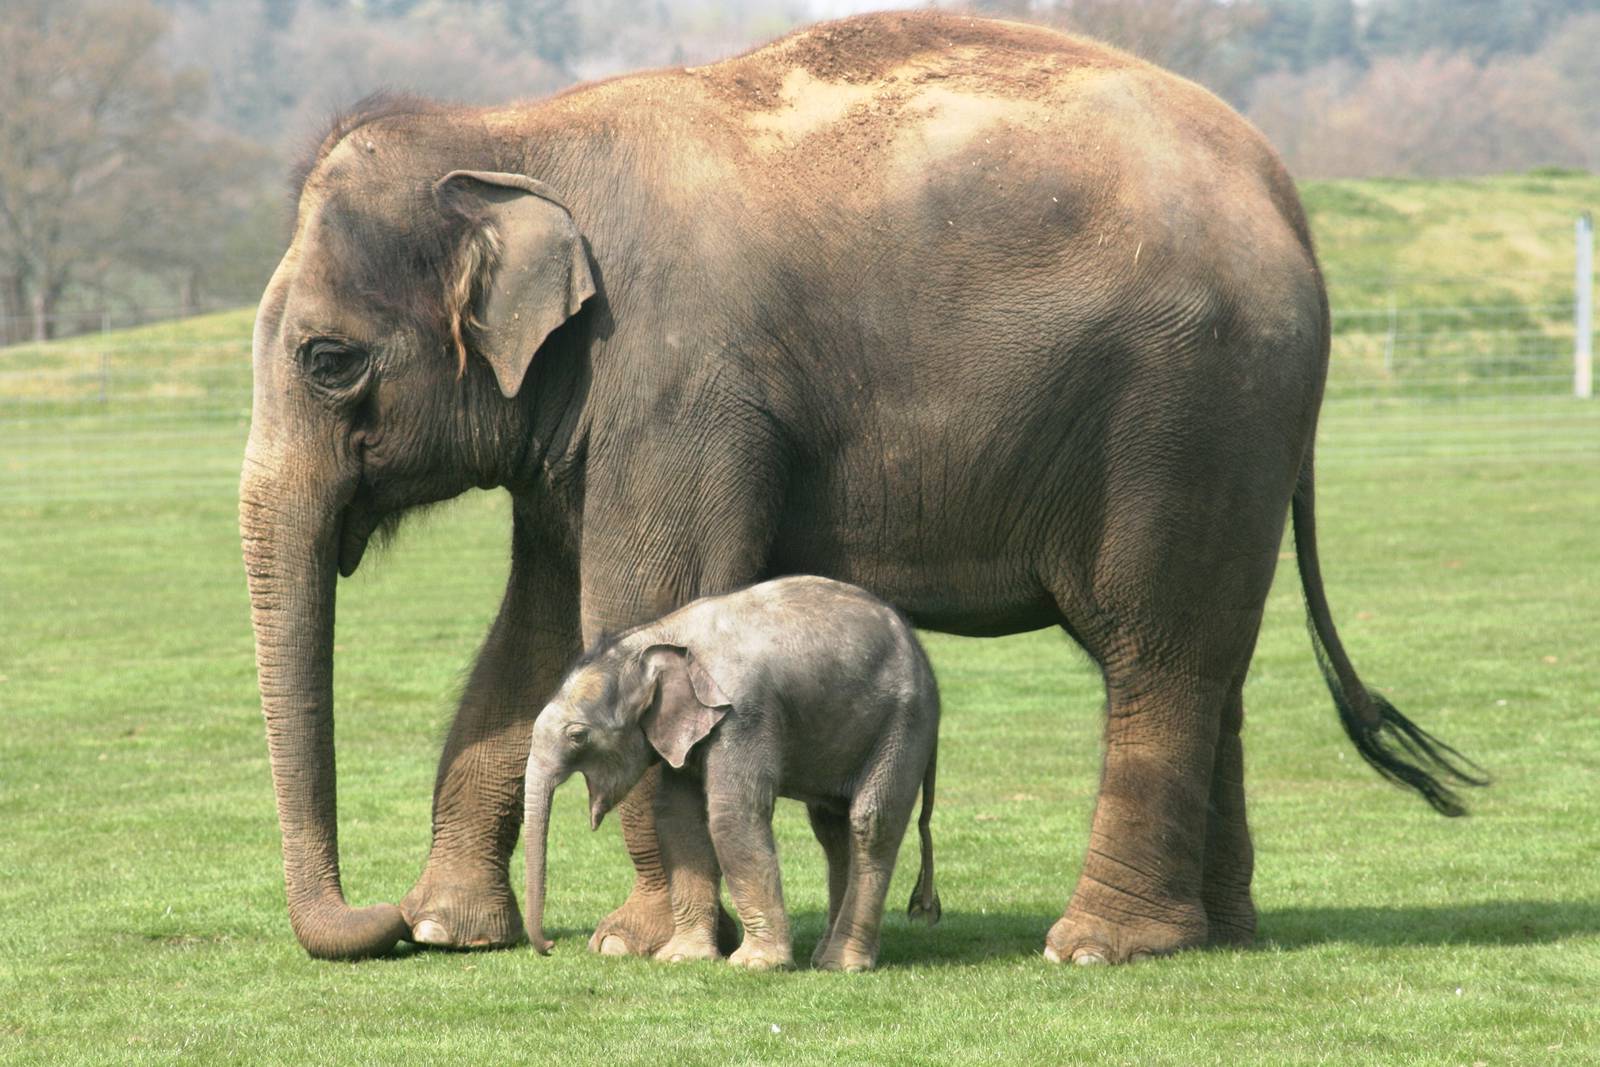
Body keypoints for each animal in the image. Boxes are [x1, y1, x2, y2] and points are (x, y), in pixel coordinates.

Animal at [521, 575, 941, 973]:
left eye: (578, 736)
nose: (550, 947)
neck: (659, 636)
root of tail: (922, 655)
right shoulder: (687, 730)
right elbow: (678, 818)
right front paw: (682, 958)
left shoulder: (742, 713)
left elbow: (731, 815)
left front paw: (756, 964)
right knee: (833, 831)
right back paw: (825, 957)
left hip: (902, 724)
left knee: (871, 822)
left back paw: (843, 964)